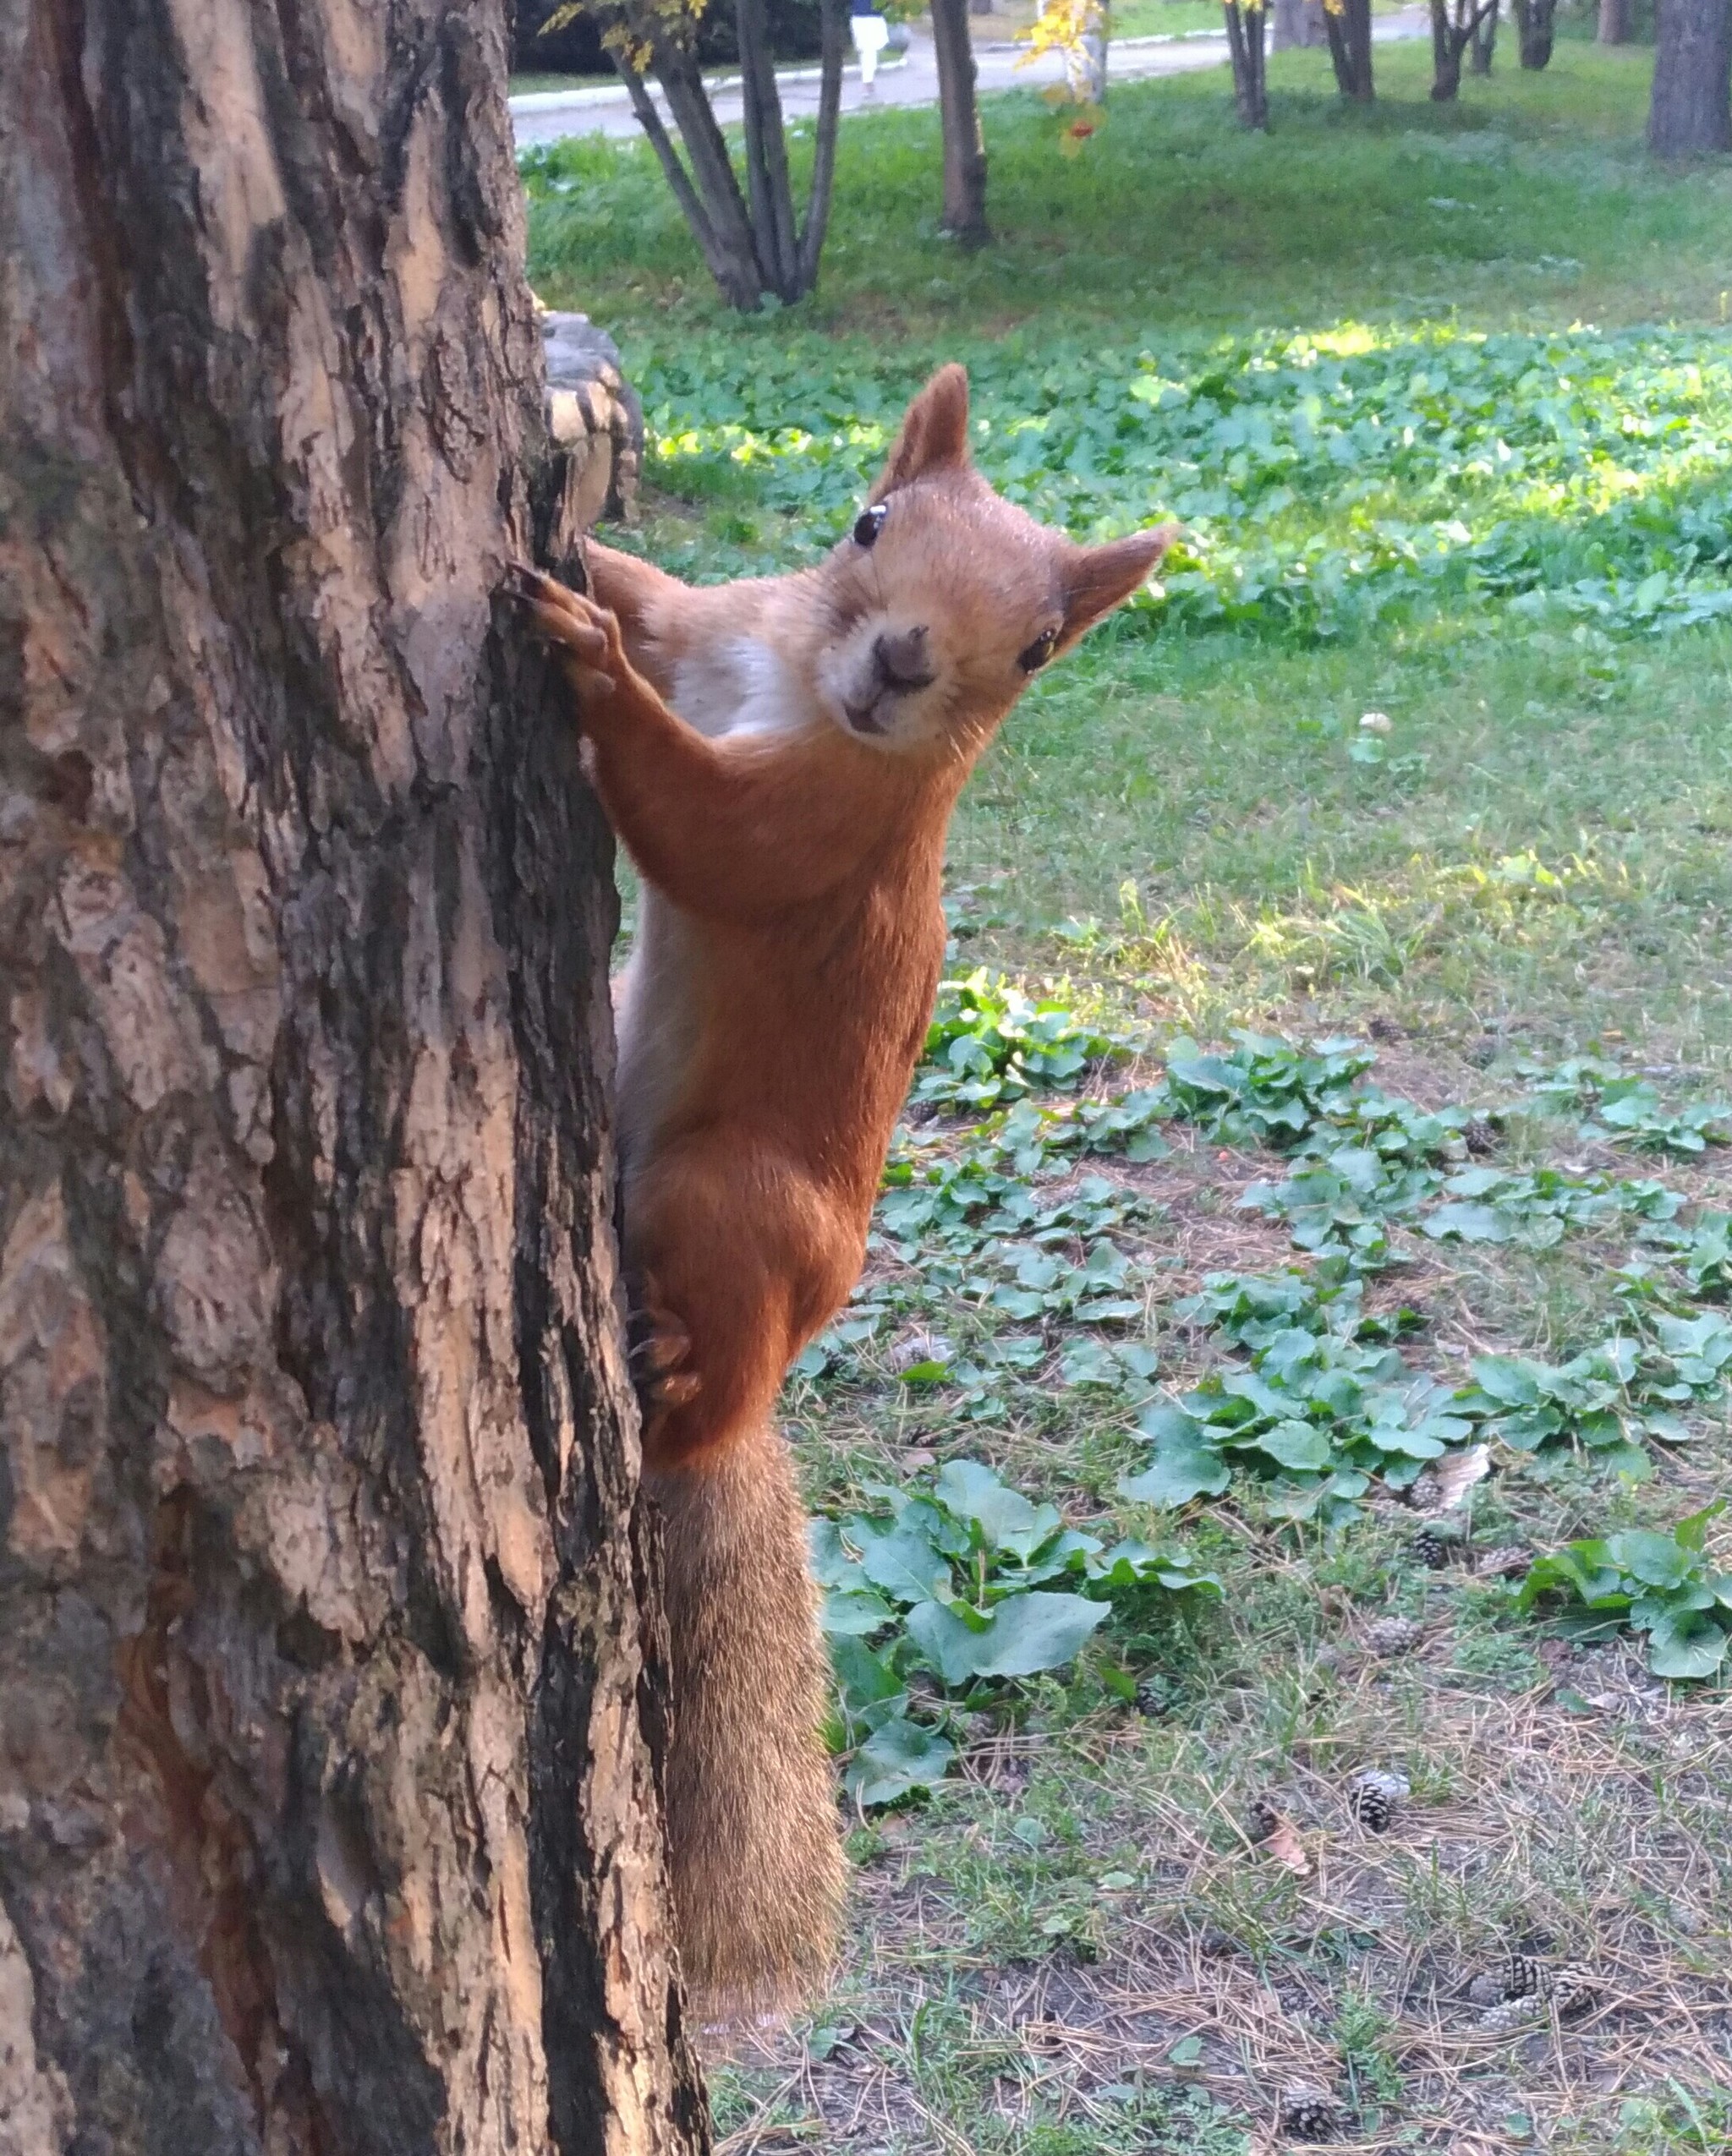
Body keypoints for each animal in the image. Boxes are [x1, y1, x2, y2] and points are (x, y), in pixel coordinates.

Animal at [508, 366, 1173, 2000]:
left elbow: (702, 829)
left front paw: (585, 661)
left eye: (1039, 647)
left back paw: (681, 1379)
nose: (902, 660)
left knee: (714, 1378)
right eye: (868, 522)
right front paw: (584, 555)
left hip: (724, 1191)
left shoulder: (816, 830)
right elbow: (665, 599)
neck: (804, 692)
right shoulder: (727, 627)